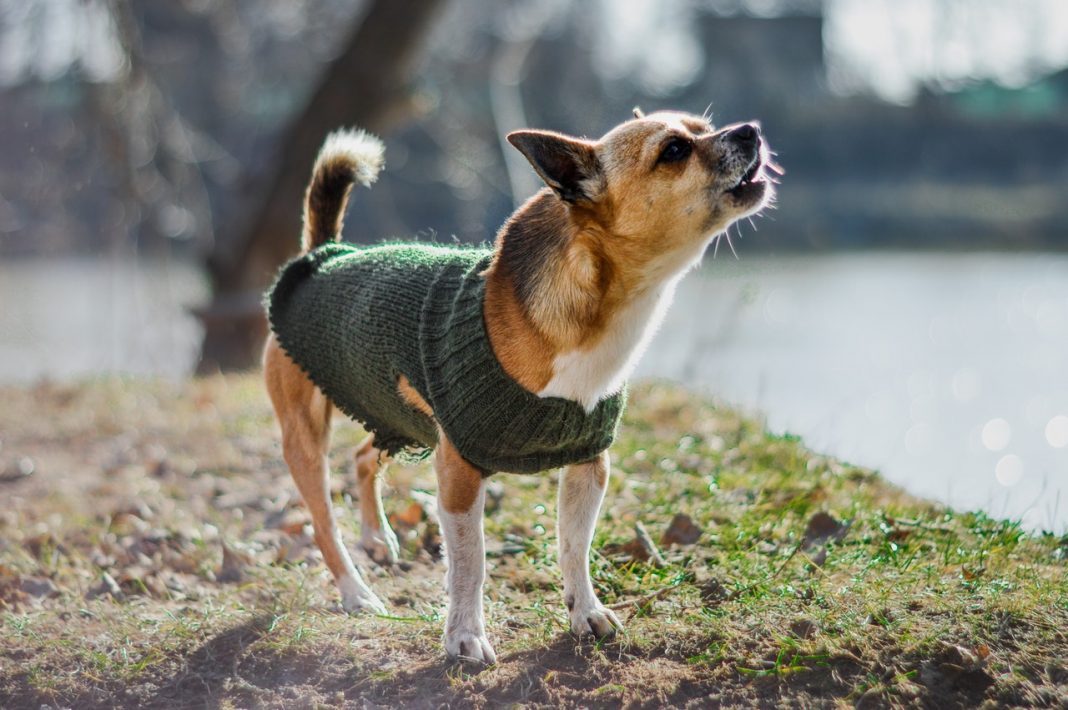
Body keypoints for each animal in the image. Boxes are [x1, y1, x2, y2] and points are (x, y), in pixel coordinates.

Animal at [261, 107, 773, 661]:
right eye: (674, 150)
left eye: (703, 127)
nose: (750, 130)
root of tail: (324, 252)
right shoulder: (458, 472)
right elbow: (471, 562)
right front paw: (464, 636)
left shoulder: (588, 464)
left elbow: (574, 546)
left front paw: (585, 612)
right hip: (307, 436)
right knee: (323, 520)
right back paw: (355, 591)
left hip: (394, 411)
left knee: (361, 457)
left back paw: (377, 538)